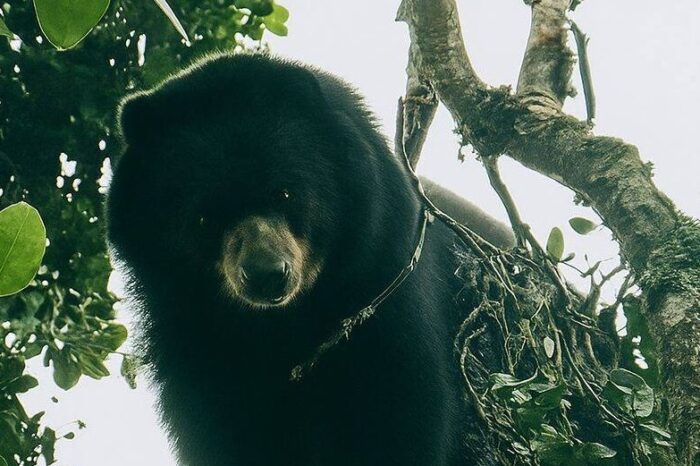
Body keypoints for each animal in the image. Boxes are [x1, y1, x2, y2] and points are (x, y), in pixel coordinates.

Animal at [106, 53, 511, 466]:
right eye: (204, 219)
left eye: (284, 193)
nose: (266, 274)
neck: (287, 322)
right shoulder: (189, 343)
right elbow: (223, 433)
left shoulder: (386, 287)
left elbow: (401, 417)